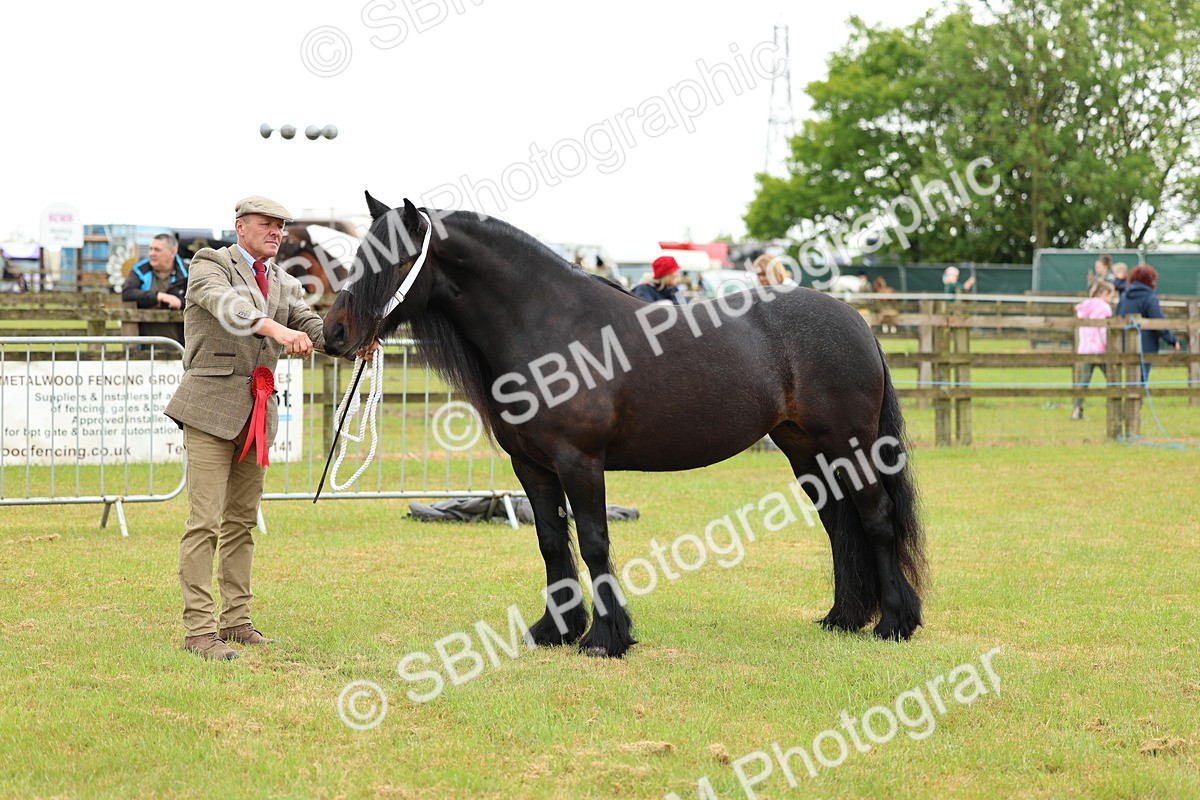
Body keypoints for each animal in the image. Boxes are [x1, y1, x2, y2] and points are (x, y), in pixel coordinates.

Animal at [322, 194, 927, 658]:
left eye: (390, 261)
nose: (333, 332)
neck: (550, 326)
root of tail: (856, 321)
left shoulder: (580, 462)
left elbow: (593, 542)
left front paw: (605, 637)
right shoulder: (532, 467)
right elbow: (551, 542)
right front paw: (554, 630)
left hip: (850, 443)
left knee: (875, 519)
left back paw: (893, 624)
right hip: (806, 450)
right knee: (838, 523)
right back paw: (843, 618)